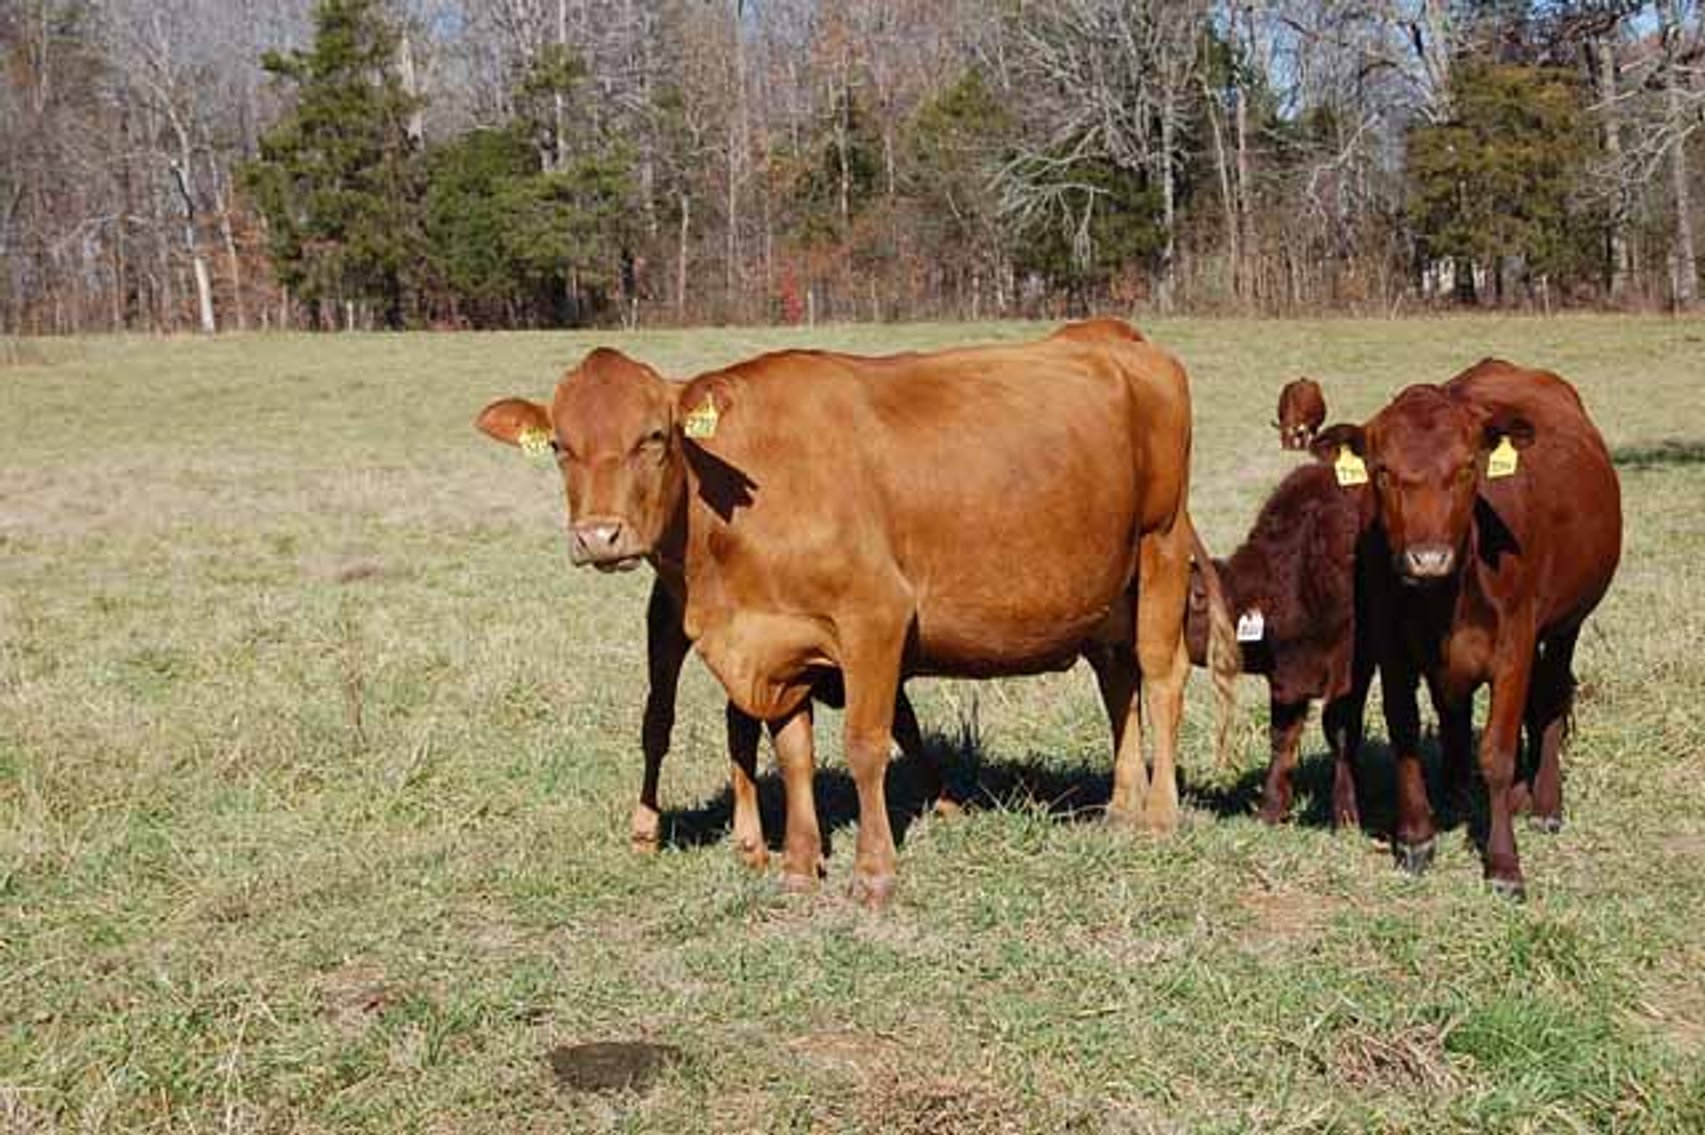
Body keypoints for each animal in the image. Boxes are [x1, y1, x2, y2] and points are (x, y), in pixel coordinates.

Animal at [476, 320, 1241, 906]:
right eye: (559, 447)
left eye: (655, 437)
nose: (598, 536)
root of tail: (1114, 336)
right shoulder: (780, 644)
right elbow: (793, 753)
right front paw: (796, 866)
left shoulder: (875, 617)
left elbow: (866, 744)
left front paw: (873, 872)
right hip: (1106, 594)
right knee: (1118, 683)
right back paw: (1120, 806)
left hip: (1159, 545)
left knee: (1161, 676)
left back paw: (1159, 815)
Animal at [1186, 463, 1376, 826]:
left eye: (1196, 596)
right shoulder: (1284, 678)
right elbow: (1282, 736)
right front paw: (1272, 809)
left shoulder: (1349, 668)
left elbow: (1341, 731)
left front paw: (1347, 813)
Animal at [1312, 359, 1621, 897]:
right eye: (1382, 471)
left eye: (1466, 469)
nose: (1428, 558)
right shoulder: (1394, 647)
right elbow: (1405, 729)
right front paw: (1417, 836)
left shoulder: (1516, 646)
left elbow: (1496, 752)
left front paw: (1503, 864)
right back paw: (1461, 790)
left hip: (1566, 624)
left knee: (1551, 698)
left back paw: (1544, 802)